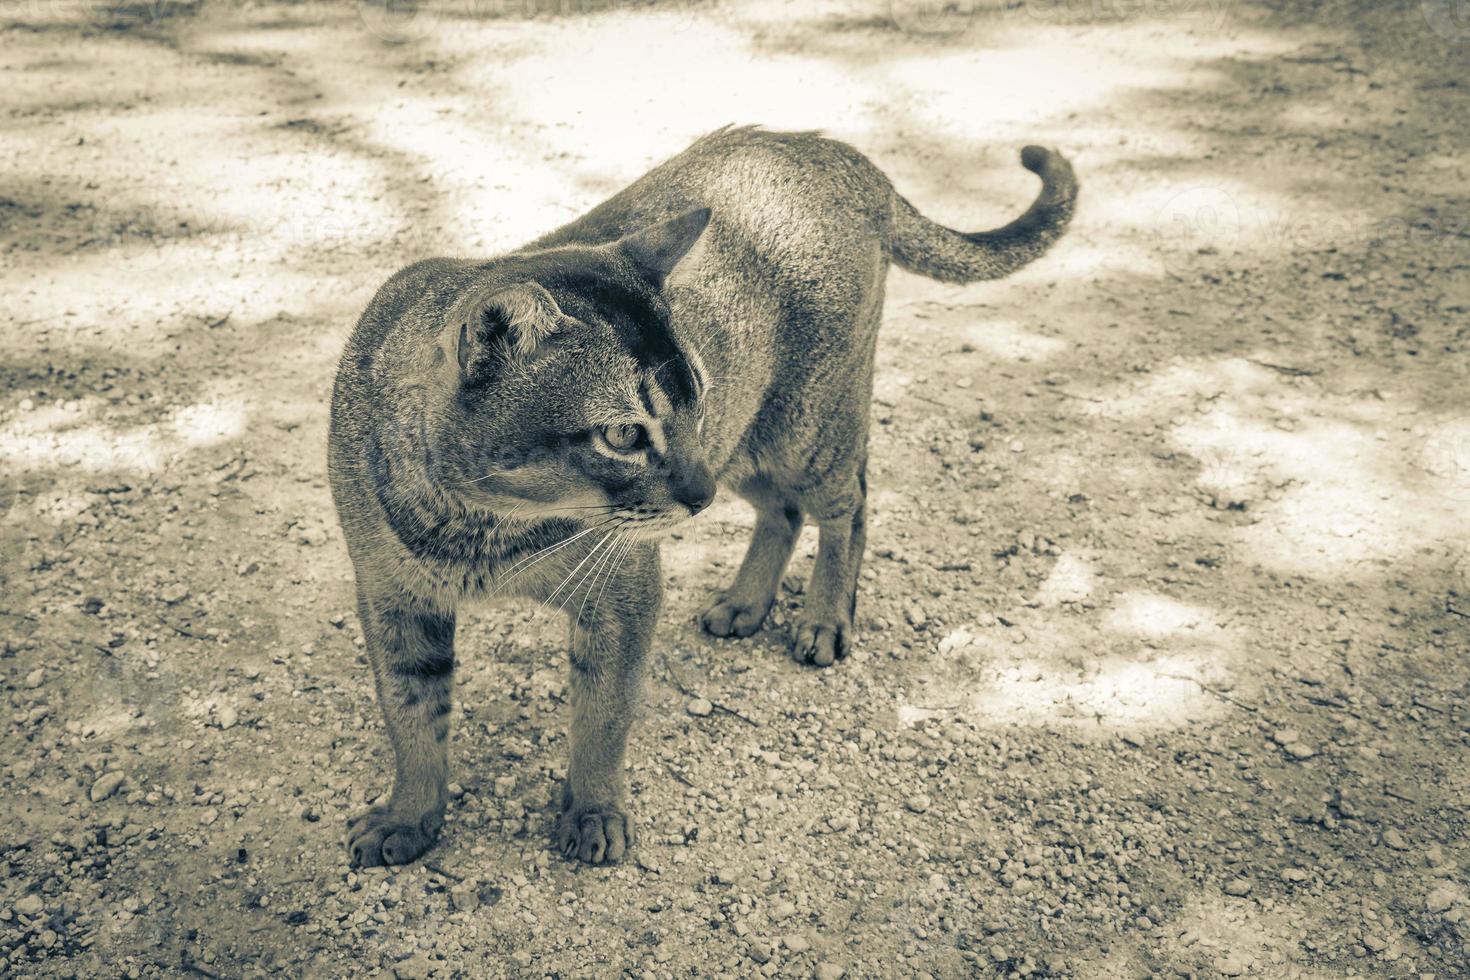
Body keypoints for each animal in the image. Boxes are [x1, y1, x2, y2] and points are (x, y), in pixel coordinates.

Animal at [327, 124, 1076, 863]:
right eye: (624, 434)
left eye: (698, 398)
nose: (698, 493)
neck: (481, 528)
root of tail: (828, 146)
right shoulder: (393, 598)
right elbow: (412, 719)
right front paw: (409, 818)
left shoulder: (623, 592)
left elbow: (601, 720)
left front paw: (593, 813)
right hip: (748, 446)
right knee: (783, 511)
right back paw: (745, 603)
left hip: (803, 431)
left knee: (850, 506)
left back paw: (824, 618)